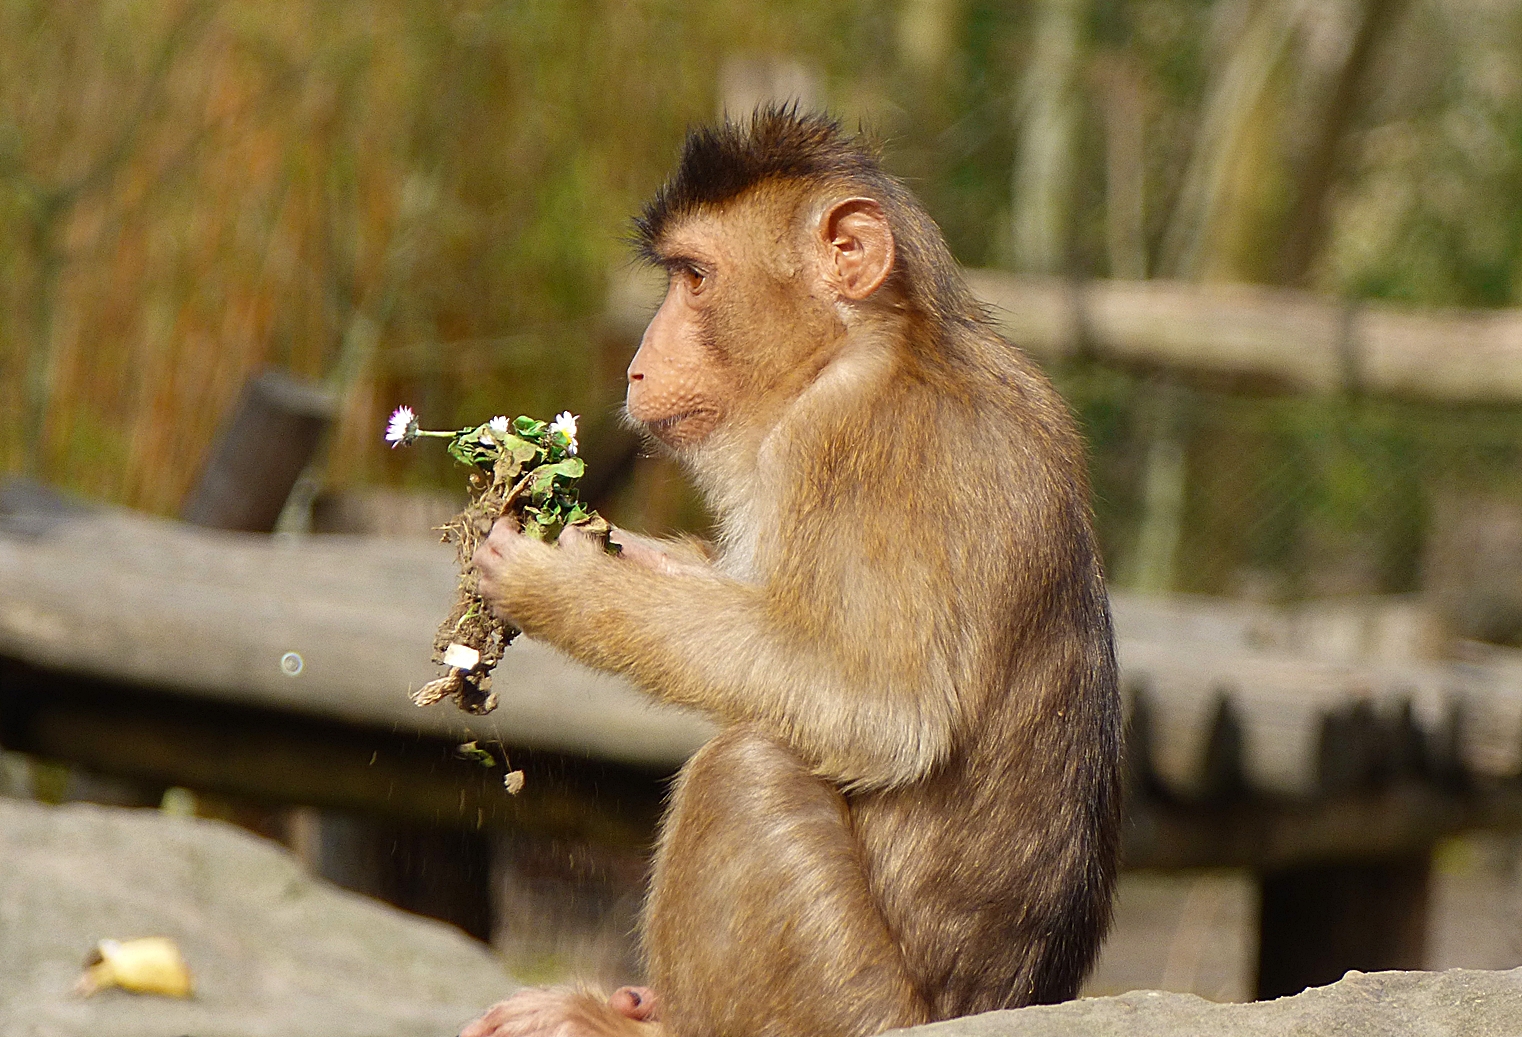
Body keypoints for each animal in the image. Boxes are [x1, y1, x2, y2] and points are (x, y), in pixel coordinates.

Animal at [462, 107, 1120, 1035]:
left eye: (695, 277)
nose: (638, 361)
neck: (883, 336)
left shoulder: (845, 440)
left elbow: (880, 707)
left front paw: (557, 582)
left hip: (849, 1007)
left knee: (746, 768)